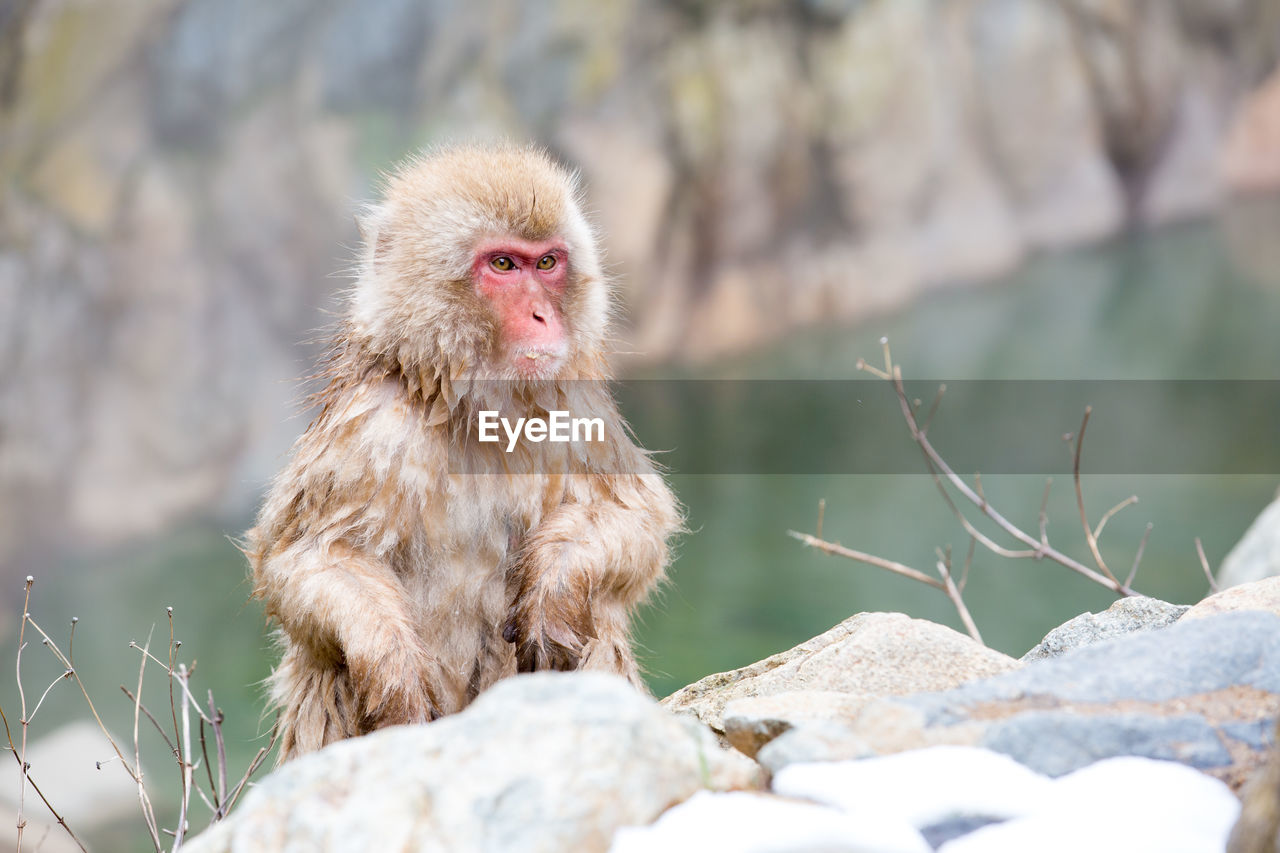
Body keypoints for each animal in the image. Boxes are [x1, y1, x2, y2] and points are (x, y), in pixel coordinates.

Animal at [240, 142, 680, 758]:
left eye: (547, 263)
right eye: (503, 266)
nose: (544, 316)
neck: (474, 410)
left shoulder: (574, 409)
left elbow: (636, 519)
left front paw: (555, 586)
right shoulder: (372, 426)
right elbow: (303, 558)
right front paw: (392, 667)